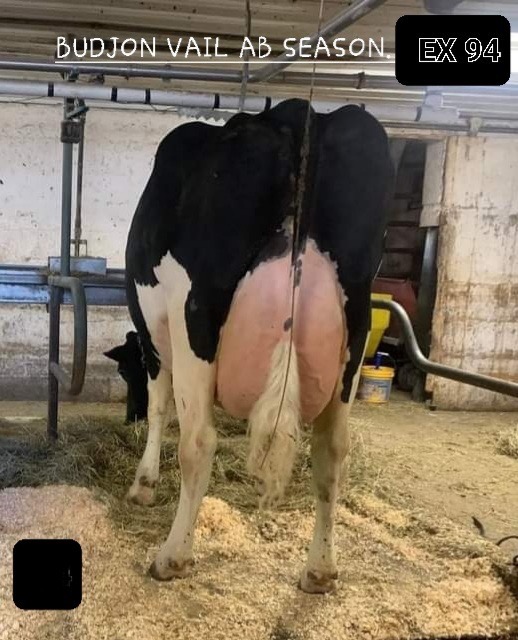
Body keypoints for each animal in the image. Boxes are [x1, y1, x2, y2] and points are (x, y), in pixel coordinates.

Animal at [123, 98, 394, 593]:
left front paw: (144, 485)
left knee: (198, 441)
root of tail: (299, 113)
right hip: (358, 318)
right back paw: (320, 570)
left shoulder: (154, 338)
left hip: (196, 310)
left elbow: (158, 407)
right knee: (332, 448)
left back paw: (172, 557)